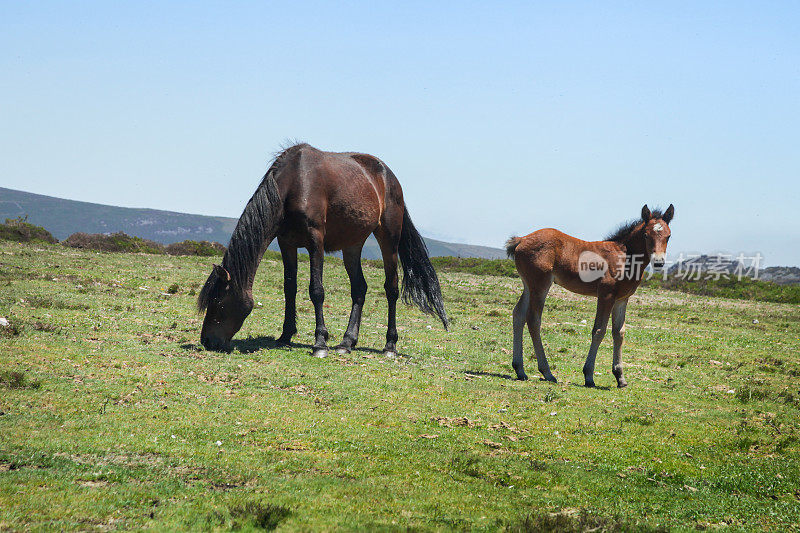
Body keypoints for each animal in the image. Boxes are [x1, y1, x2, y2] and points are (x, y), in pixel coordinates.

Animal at [197, 143, 446, 356]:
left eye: (218, 301)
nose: (207, 341)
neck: (294, 185)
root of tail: (390, 177)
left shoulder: (315, 241)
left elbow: (316, 290)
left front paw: (320, 343)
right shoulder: (286, 243)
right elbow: (290, 288)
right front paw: (285, 335)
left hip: (389, 239)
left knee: (391, 288)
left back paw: (390, 345)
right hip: (352, 245)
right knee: (359, 289)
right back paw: (347, 342)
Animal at [510, 204, 672, 386]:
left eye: (668, 236)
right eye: (646, 235)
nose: (658, 262)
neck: (626, 258)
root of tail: (521, 240)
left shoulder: (622, 299)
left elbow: (619, 333)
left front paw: (620, 377)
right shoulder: (606, 295)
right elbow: (599, 330)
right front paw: (588, 375)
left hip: (528, 285)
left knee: (518, 314)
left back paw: (520, 369)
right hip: (540, 285)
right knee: (533, 320)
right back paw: (547, 372)